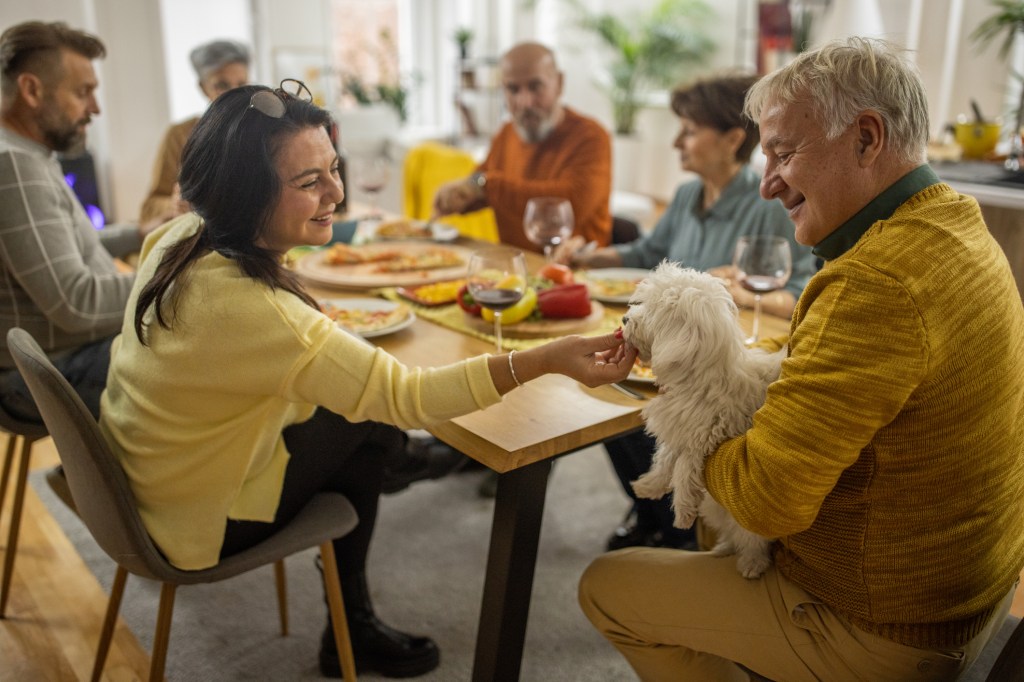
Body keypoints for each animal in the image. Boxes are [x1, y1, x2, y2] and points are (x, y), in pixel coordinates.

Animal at [622, 260, 782, 577]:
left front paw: (683, 511)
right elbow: (664, 459)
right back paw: (724, 549)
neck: (698, 380)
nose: (624, 319)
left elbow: (684, 468)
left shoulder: (710, 436)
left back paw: (751, 563)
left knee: (752, 539)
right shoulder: (680, 429)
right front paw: (649, 485)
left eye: (651, 311)